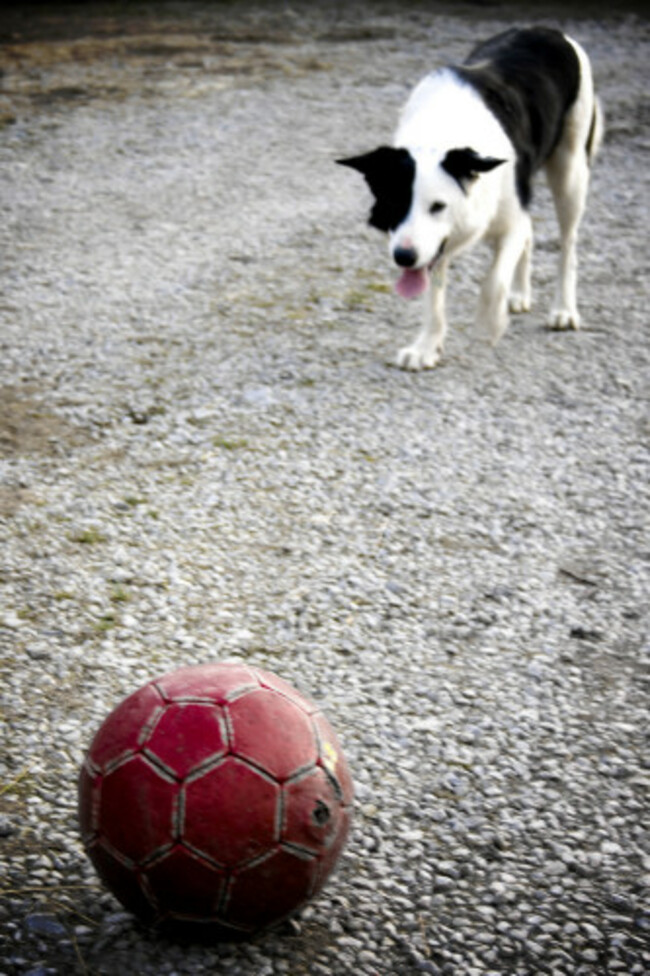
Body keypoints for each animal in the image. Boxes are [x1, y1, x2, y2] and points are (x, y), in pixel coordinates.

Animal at [336, 27, 600, 370]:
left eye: (438, 206)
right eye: (395, 205)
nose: (403, 257)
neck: (440, 133)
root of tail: (548, 30)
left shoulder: (506, 219)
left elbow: (493, 281)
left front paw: (490, 323)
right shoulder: (434, 245)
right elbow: (433, 295)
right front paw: (426, 347)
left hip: (570, 168)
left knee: (567, 244)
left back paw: (564, 310)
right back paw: (520, 294)